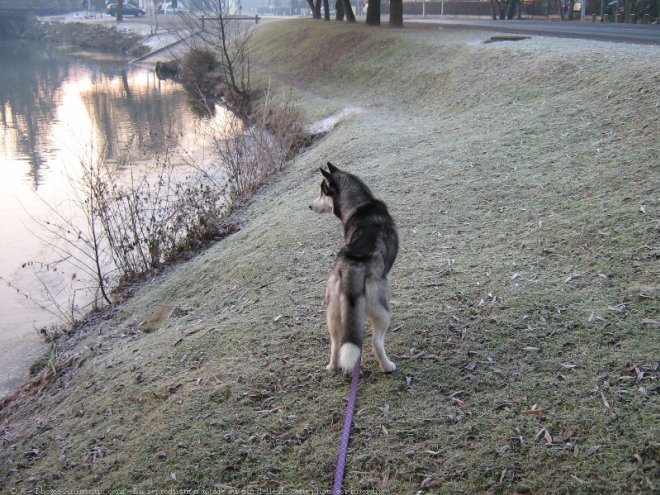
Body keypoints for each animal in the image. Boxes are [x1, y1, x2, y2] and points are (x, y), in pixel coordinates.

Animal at [308, 165, 398, 374]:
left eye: (321, 193)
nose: (309, 206)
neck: (359, 203)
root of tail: (351, 268)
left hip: (332, 314)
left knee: (336, 344)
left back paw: (333, 366)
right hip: (382, 310)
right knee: (376, 342)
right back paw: (387, 366)